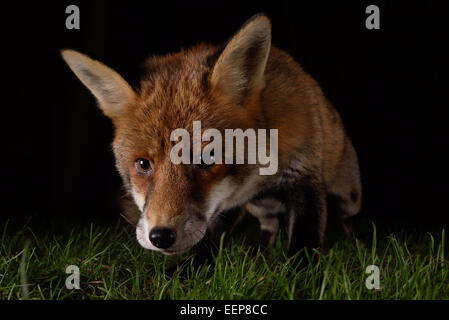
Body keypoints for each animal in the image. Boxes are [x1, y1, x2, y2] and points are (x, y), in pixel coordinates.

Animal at [61, 13, 360, 262]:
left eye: (207, 159)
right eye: (143, 164)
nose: (161, 236)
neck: (258, 176)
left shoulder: (304, 178)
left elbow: (304, 245)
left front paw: (301, 276)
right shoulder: (225, 203)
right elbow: (206, 241)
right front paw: (186, 273)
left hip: (349, 197)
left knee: (346, 220)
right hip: (259, 209)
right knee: (270, 225)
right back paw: (262, 249)